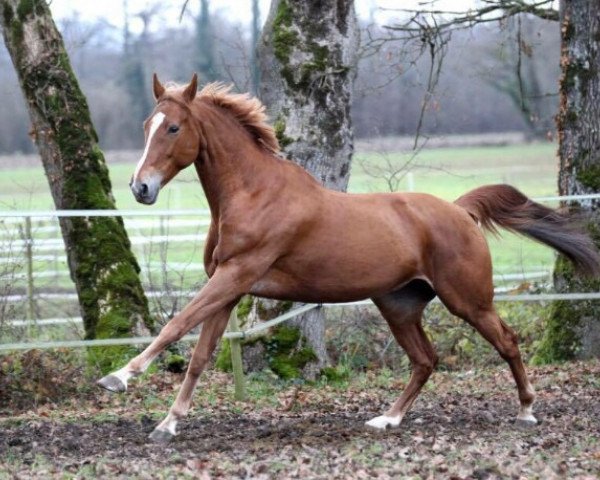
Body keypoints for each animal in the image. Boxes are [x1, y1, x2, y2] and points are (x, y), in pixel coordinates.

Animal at [99, 74, 600, 442]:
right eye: (146, 126)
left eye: (173, 128)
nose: (141, 188)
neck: (254, 194)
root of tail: (459, 210)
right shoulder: (229, 287)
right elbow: (201, 355)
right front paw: (168, 423)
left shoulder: (235, 276)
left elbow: (176, 324)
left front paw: (119, 377)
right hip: (399, 304)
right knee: (425, 360)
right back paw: (387, 419)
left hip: (468, 300)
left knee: (507, 342)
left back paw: (527, 411)